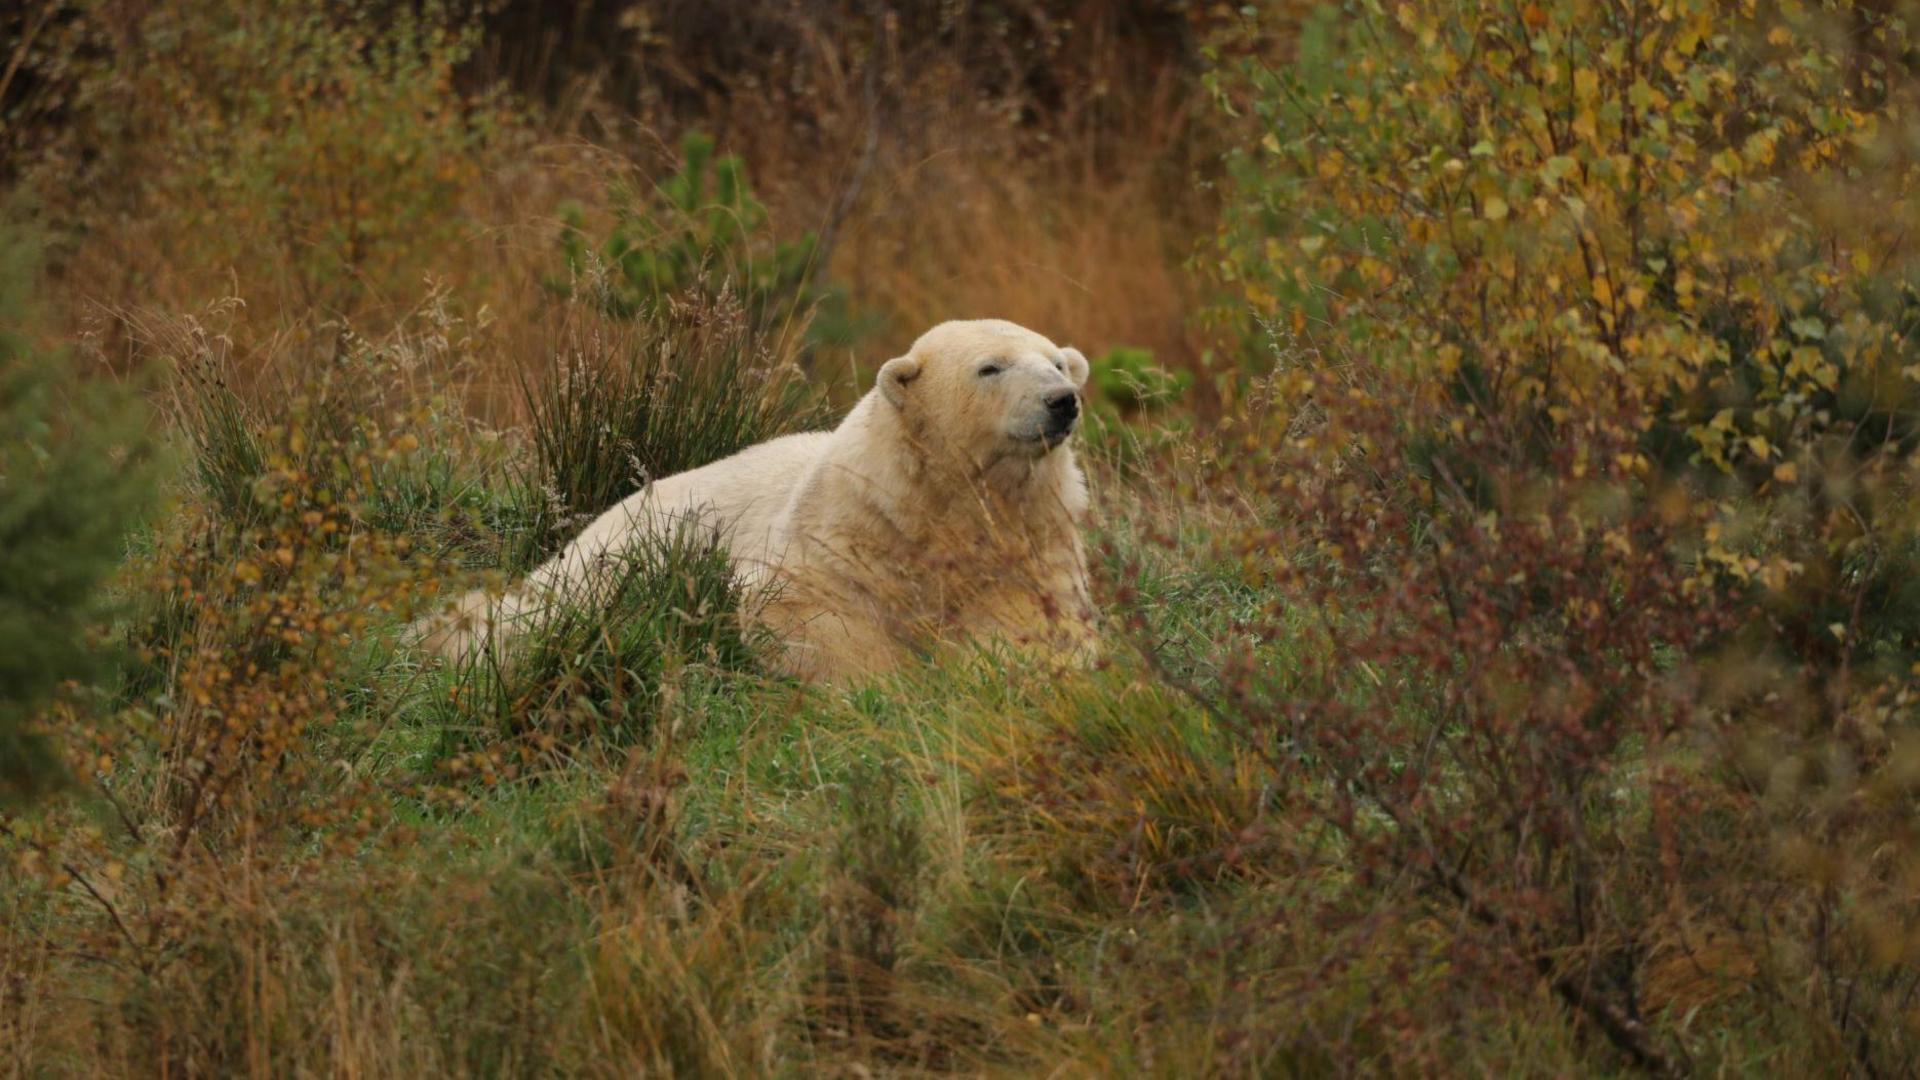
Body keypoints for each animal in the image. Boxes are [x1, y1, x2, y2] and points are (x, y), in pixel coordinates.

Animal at [418, 315, 1098, 676]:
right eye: (991, 367)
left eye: (1057, 363)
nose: (1061, 400)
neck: (941, 503)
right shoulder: (849, 527)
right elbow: (798, 603)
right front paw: (886, 679)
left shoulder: (1029, 544)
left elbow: (1035, 621)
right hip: (615, 558)